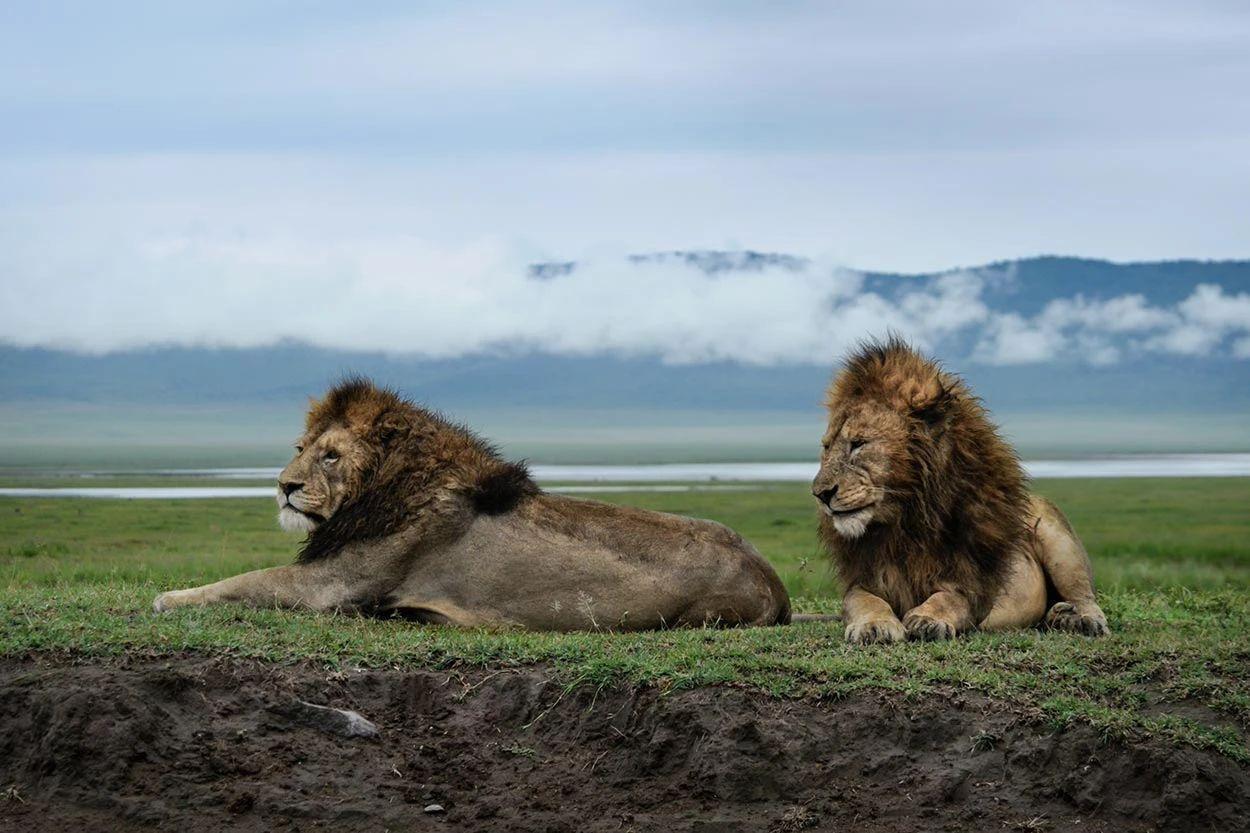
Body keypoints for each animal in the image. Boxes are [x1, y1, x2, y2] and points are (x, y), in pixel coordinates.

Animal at [153, 375, 790, 630]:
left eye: (330, 457)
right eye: (301, 449)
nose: (284, 485)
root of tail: (775, 582)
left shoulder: (331, 588)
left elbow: (246, 580)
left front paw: (168, 597)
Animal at [810, 337, 1115, 640]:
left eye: (859, 443)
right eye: (826, 447)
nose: (821, 494)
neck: (904, 525)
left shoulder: (972, 585)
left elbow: (949, 598)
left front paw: (927, 619)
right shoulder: (863, 579)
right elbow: (863, 601)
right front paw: (874, 625)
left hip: (1057, 536)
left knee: (1083, 595)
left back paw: (1082, 620)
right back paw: (1059, 615)